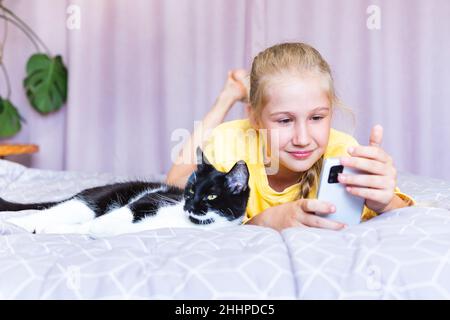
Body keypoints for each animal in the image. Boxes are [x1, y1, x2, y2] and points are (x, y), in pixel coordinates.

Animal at [0, 149, 250, 236]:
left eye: (211, 196)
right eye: (190, 190)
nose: (188, 205)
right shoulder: (149, 200)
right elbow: (106, 221)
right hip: (89, 202)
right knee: (43, 214)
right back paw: (16, 226)